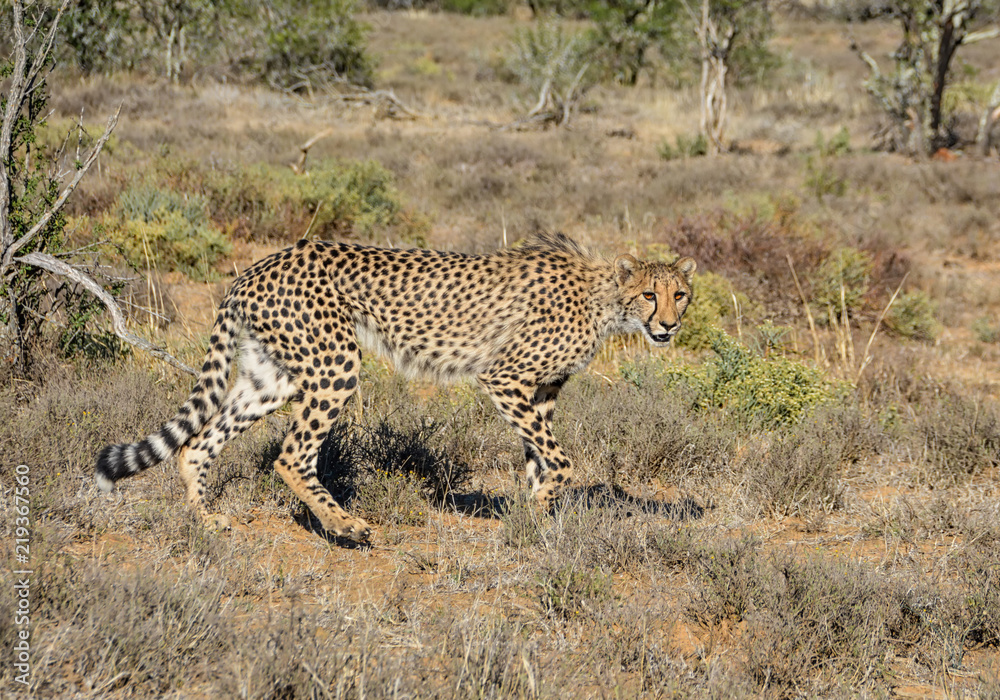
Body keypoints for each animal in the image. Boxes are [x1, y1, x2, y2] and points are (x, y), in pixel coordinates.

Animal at [95, 233, 696, 542]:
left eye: (680, 294)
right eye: (650, 294)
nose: (668, 326)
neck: (606, 300)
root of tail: (257, 266)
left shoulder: (540, 392)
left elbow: (539, 460)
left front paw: (535, 521)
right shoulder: (503, 377)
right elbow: (562, 462)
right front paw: (536, 515)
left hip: (273, 374)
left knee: (197, 444)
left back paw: (206, 520)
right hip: (335, 364)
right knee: (291, 455)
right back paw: (347, 525)